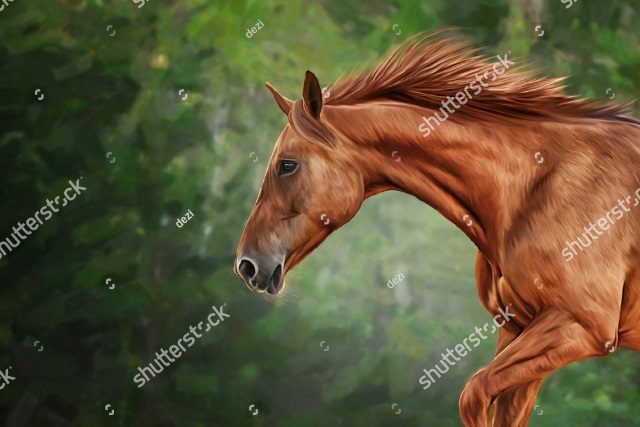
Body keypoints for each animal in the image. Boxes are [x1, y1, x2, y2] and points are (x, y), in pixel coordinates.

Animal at [233, 32, 640, 426]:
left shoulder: (581, 326)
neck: (537, 184)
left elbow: (473, 395)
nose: (246, 266)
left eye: (287, 165)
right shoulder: (519, 330)